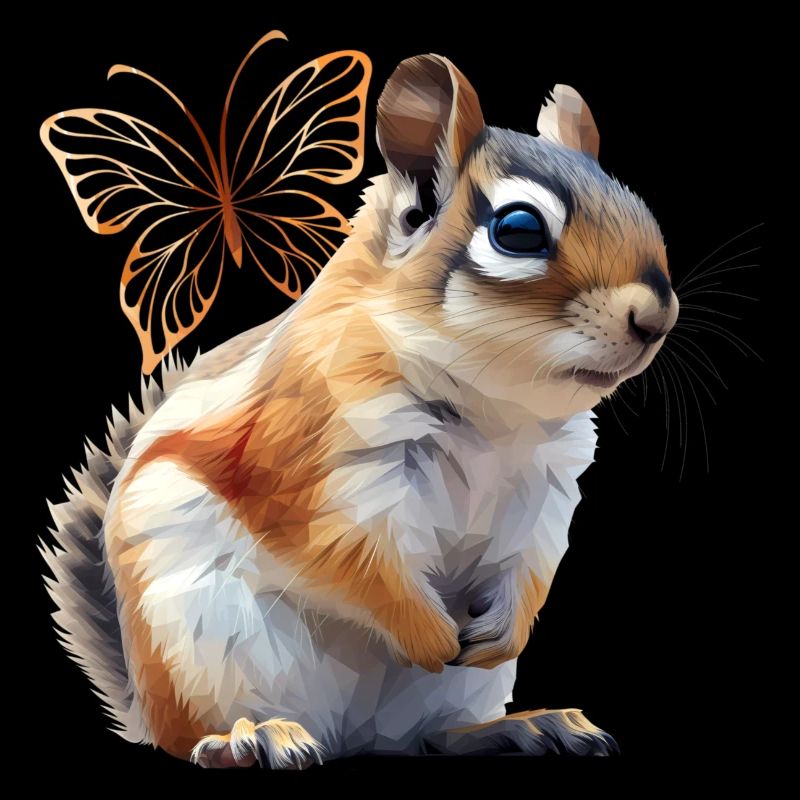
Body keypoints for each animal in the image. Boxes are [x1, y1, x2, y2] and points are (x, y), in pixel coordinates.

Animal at [42, 54, 678, 767]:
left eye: (639, 206)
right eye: (518, 230)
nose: (657, 317)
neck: (496, 411)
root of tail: (351, 737)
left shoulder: (546, 485)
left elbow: (534, 559)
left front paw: (505, 632)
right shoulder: (317, 459)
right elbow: (355, 560)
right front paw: (430, 635)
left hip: (449, 698)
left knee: (433, 736)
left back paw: (522, 727)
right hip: (203, 648)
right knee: (201, 736)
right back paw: (252, 737)